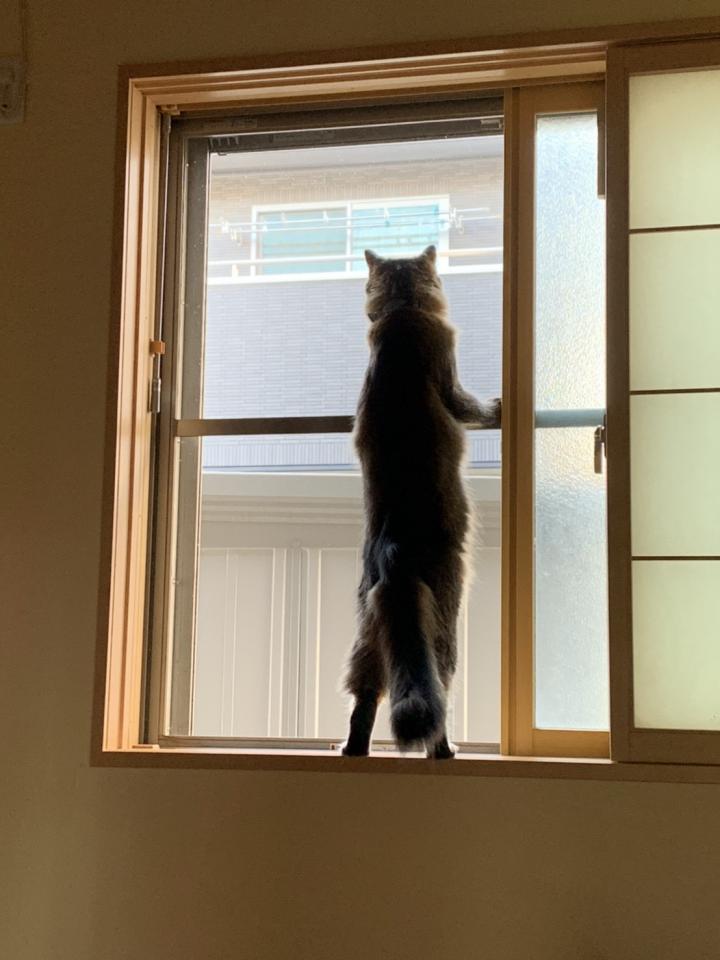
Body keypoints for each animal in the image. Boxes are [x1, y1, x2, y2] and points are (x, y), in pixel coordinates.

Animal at [342, 245, 501, 759]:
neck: (403, 313)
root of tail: (394, 553)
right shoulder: (449, 375)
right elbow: (471, 406)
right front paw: (496, 406)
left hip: (369, 629)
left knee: (365, 696)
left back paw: (352, 749)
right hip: (445, 621)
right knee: (438, 692)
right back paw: (445, 750)